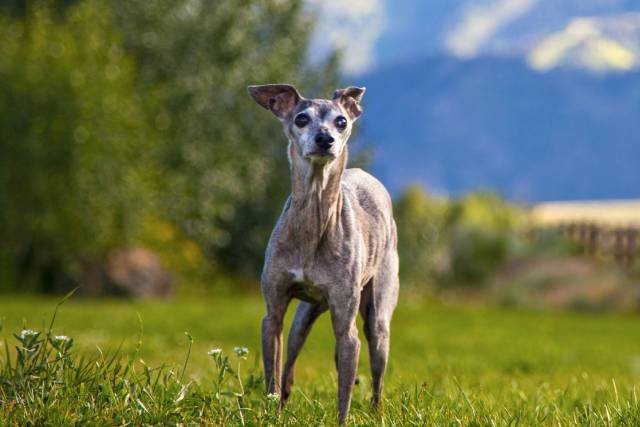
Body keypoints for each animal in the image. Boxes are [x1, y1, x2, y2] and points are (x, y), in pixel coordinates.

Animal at [248, 83, 398, 424]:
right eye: (301, 118)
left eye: (341, 121)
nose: (325, 138)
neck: (312, 224)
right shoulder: (273, 316)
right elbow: (273, 377)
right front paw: (272, 412)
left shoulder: (347, 331)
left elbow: (344, 395)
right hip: (302, 320)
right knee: (289, 368)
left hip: (377, 320)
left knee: (377, 379)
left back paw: (377, 412)